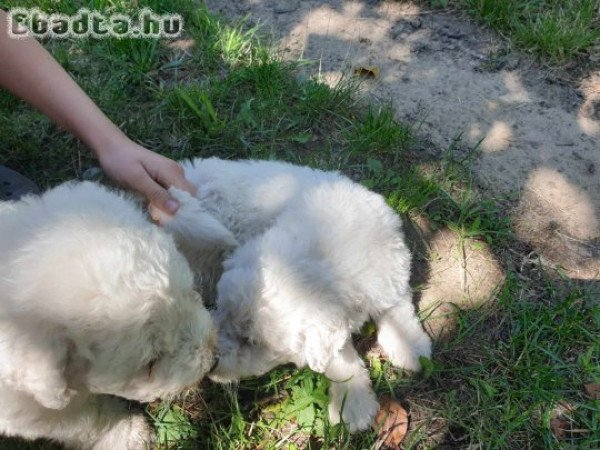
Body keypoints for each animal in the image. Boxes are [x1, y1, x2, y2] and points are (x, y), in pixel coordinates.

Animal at [0, 181, 216, 448]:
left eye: (191, 293)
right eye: (151, 363)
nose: (213, 359)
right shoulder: (31, 411)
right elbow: (86, 420)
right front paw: (131, 435)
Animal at [164, 158, 432, 432]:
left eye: (253, 342)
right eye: (220, 309)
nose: (212, 362)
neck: (324, 255)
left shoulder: (391, 272)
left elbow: (397, 309)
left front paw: (412, 348)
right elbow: (341, 359)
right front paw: (352, 404)